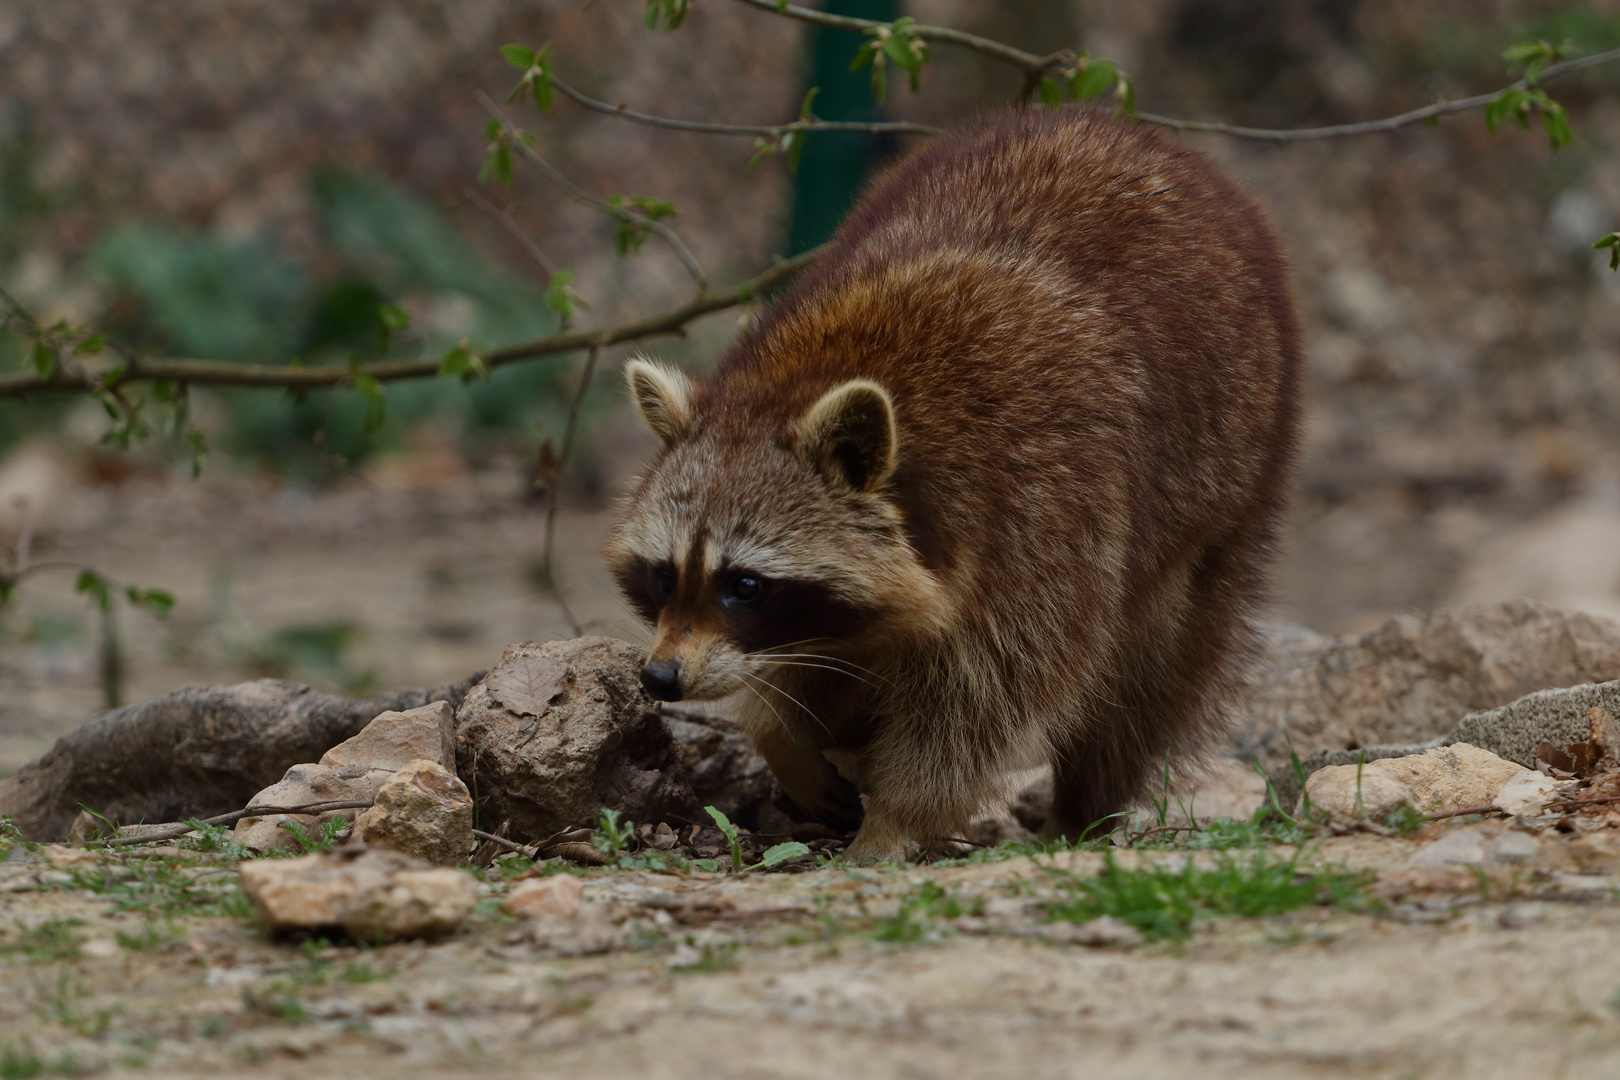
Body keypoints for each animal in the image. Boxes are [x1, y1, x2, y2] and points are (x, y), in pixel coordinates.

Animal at [609, 103, 1302, 861]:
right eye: (665, 575)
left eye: (745, 584)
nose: (661, 678)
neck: (813, 377)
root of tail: (1124, 129)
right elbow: (806, 673)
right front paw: (785, 738)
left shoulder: (1045, 515)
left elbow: (982, 703)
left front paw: (893, 823)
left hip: (1227, 482)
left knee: (1147, 678)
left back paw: (1084, 808)